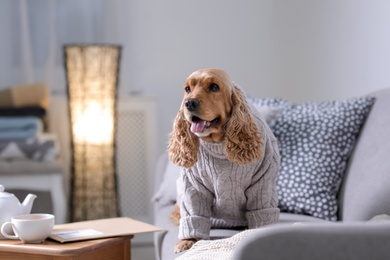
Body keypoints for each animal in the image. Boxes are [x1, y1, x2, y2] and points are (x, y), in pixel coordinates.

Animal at [168, 68, 280, 253]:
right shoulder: (193, 185)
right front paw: (188, 240)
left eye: (214, 87)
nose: (189, 103)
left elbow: (261, 210)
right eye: (187, 89)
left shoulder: (263, 181)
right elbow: (193, 211)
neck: (218, 142)